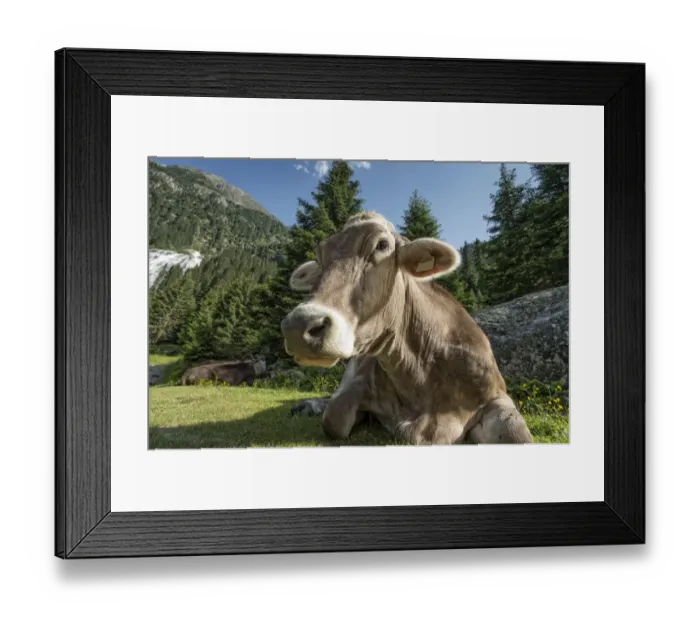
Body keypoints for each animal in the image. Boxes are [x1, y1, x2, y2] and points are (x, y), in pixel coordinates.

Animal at [280, 211, 534, 445]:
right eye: (320, 255)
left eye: (382, 245)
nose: (299, 325)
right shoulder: (358, 382)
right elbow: (333, 418)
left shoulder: (496, 394)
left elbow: (516, 434)